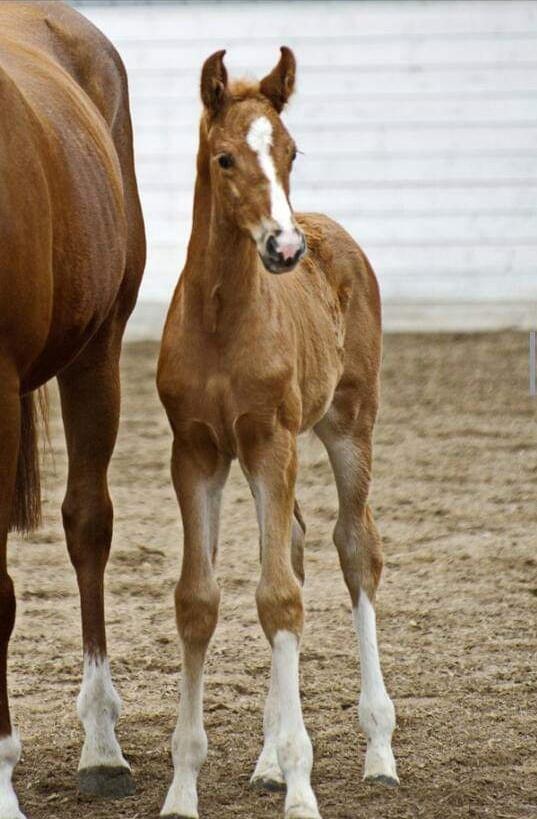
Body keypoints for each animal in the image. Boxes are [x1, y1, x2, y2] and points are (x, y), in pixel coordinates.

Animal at [157, 47, 398, 819]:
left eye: (291, 151)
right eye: (226, 157)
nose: (284, 246)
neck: (221, 319)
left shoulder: (271, 440)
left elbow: (279, 599)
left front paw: (302, 789)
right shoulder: (196, 451)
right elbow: (200, 600)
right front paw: (182, 791)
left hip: (348, 423)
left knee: (354, 547)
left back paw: (378, 751)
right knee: (290, 545)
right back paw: (266, 759)